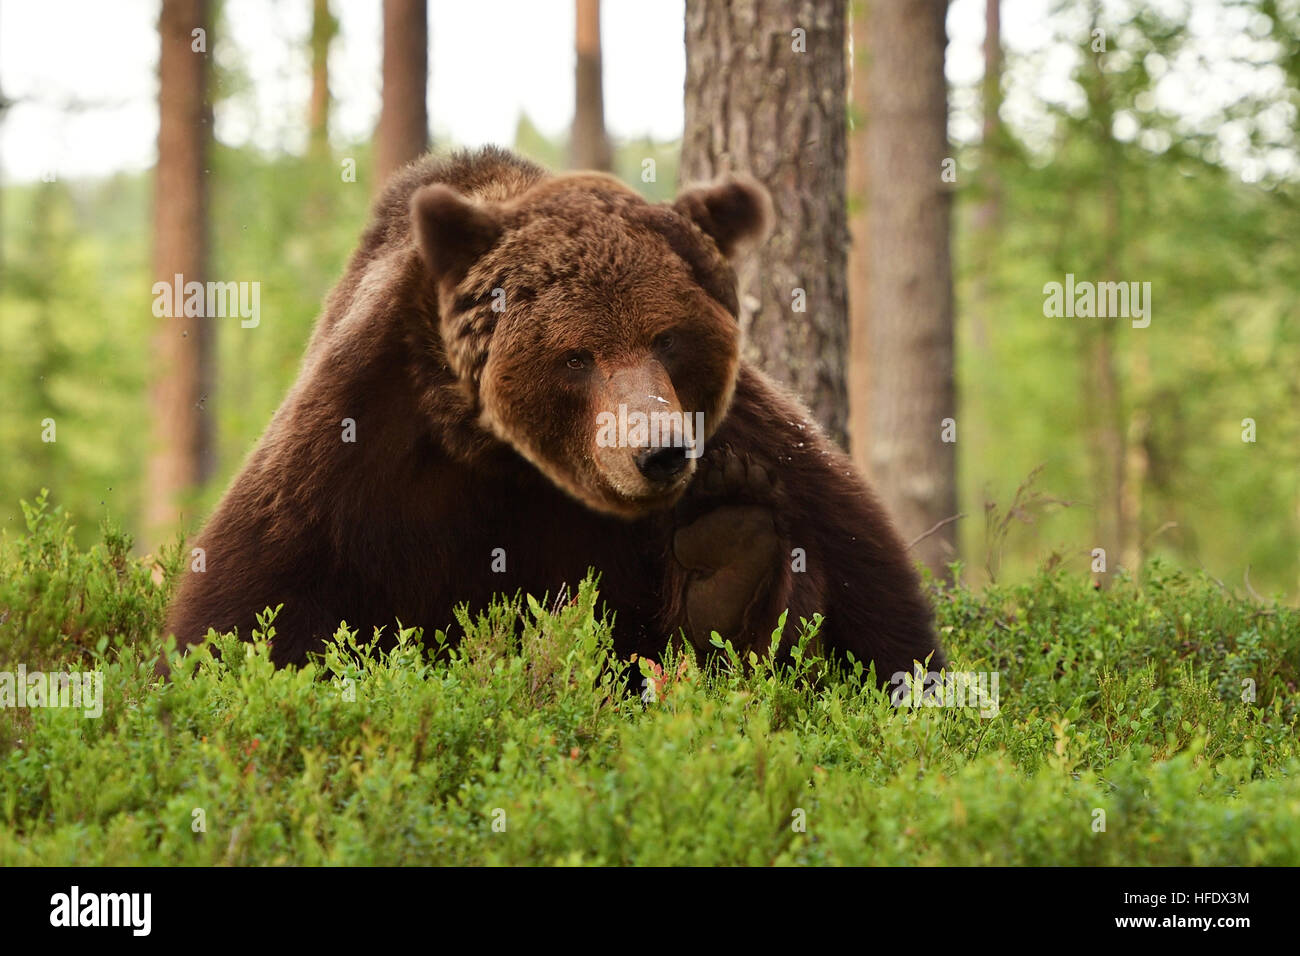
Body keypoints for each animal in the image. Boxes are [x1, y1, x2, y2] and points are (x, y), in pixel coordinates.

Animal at [167, 143, 951, 681]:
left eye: (669, 338)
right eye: (576, 355)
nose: (659, 451)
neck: (511, 460)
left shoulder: (745, 433)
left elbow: (870, 592)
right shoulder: (361, 442)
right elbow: (252, 603)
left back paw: (727, 557)